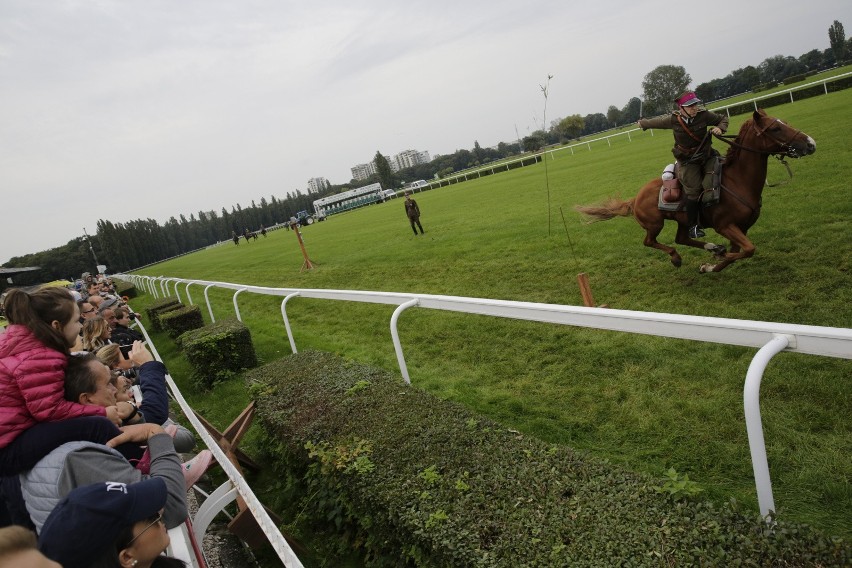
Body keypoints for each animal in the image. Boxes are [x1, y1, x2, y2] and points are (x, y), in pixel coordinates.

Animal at [576, 110, 816, 274]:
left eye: (784, 123)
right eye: (776, 129)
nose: (811, 143)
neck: (737, 181)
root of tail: (635, 198)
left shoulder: (742, 227)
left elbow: (738, 253)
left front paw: (713, 262)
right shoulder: (725, 225)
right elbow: (747, 250)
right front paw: (713, 261)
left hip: (683, 220)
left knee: (682, 237)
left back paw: (711, 247)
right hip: (655, 224)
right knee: (650, 242)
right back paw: (678, 257)